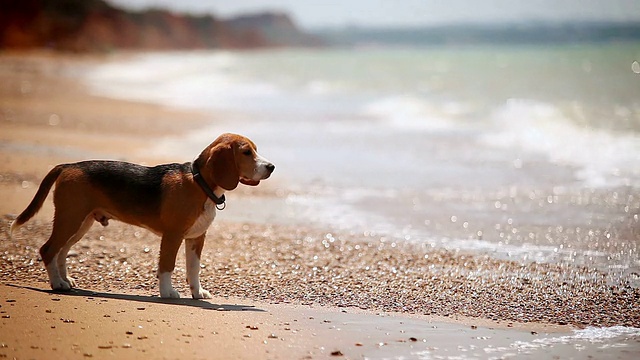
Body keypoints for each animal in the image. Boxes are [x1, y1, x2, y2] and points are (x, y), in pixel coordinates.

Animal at [10, 134, 274, 300]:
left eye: (255, 150)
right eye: (246, 152)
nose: (271, 167)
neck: (200, 184)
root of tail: (68, 165)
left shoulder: (196, 239)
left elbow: (194, 269)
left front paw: (197, 293)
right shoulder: (172, 236)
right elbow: (167, 266)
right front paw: (168, 293)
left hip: (80, 223)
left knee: (62, 251)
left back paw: (65, 280)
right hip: (70, 219)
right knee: (48, 250)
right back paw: (56, 284)